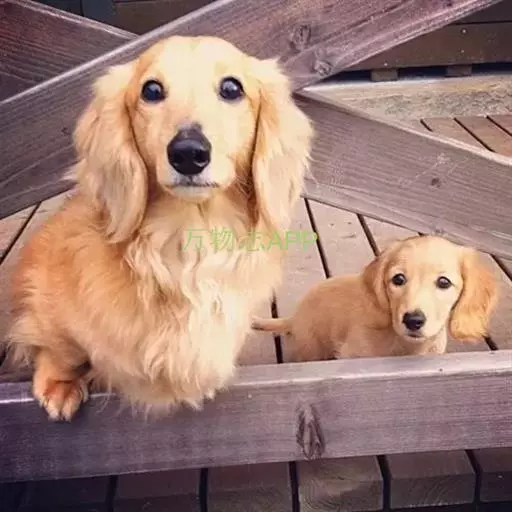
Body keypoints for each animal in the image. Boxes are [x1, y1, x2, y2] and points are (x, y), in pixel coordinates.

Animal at [6, 36, 313, 420]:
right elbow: (61, 347)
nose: (188, 152)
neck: (187, 247)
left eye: (232, 88)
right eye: (151, 90)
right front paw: (60, 383)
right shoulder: (46, 296)